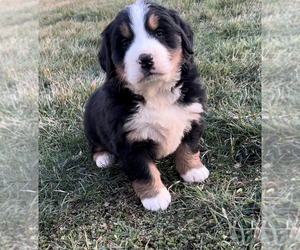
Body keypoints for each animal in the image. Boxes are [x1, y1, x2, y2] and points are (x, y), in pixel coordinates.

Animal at [84, 0, 209, 211]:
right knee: (94, 144)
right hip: (90, 125)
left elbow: (189, 147)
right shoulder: (129, 140)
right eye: (124, 43)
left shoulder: (192, 115)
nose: (145, 59)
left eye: (159, 32)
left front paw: (193, 170)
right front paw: (155, 197)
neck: (157, 93)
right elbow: (144, 171)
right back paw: (103, 157)